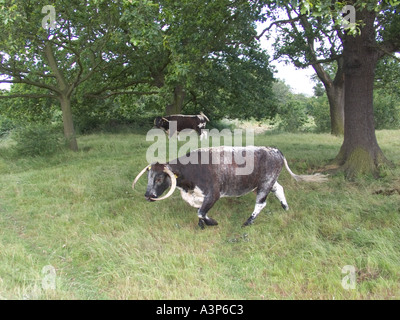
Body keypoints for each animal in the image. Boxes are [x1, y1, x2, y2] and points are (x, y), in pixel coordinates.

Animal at [133, 146, 326, 229]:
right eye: (149, 177)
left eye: (159, 178)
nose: (148, 195)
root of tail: (275, 150)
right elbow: (200, 211)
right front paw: (202, 224)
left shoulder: (213, 194)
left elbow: (201, 212)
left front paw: (211, 222)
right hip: (269, 181)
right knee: (279, 189)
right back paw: (285, 208)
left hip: (265, 183)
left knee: (261, 203)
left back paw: (248, 222)